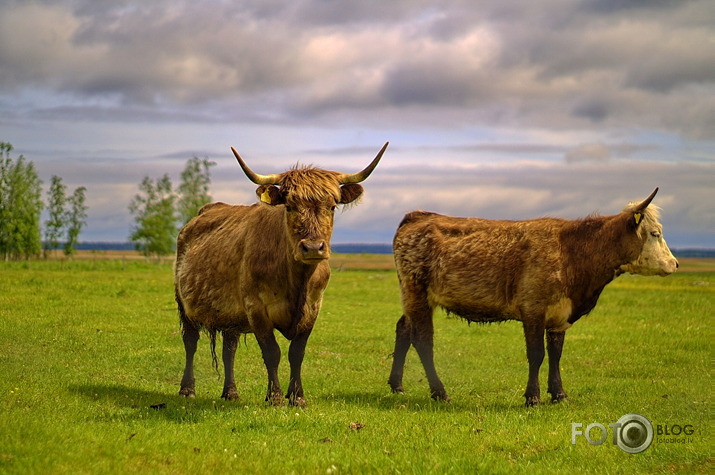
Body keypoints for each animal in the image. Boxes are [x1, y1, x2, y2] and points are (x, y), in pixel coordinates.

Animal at [176, 143, 388, 408]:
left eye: (332, 206)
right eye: (289, 206)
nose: (313, 247)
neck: (298, 283)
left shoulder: (313, 308)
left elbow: (296, 353)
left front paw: (298, 397)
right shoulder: (256, 309)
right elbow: (272, 353)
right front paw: (275, 397)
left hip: (230, 313)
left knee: (229, 349)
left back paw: (231, 393)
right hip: (184, 304)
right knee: (190, 342)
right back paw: (187, 389)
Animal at [388, 188, 680, 408]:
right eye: (655, 233)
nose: (675, 264)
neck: (573, 252)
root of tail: (418, 216)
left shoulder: (560, 316)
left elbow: (556, 354)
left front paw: (559, 394)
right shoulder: (533, 309)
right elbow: (536, 354)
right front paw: (533, 397)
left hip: (413, 297)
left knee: (403, 329)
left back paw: (397, 385)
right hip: (417, 292)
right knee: (423, 340)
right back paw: (440, 393)